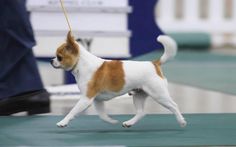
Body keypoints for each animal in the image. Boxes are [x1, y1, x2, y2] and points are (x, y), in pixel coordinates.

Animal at [51, 31, 186, 128]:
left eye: (59, 57)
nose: (51, 60)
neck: (81, 63)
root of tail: (154, 63)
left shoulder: (86, 99)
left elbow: (72, 111)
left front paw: (63, 122)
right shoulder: (96, 100)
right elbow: (102, 115)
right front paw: (111, 121)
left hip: (159, 95)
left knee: (174, 106)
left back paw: (181, 121)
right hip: (138, 95)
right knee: (141, 112)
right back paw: (129, 123)